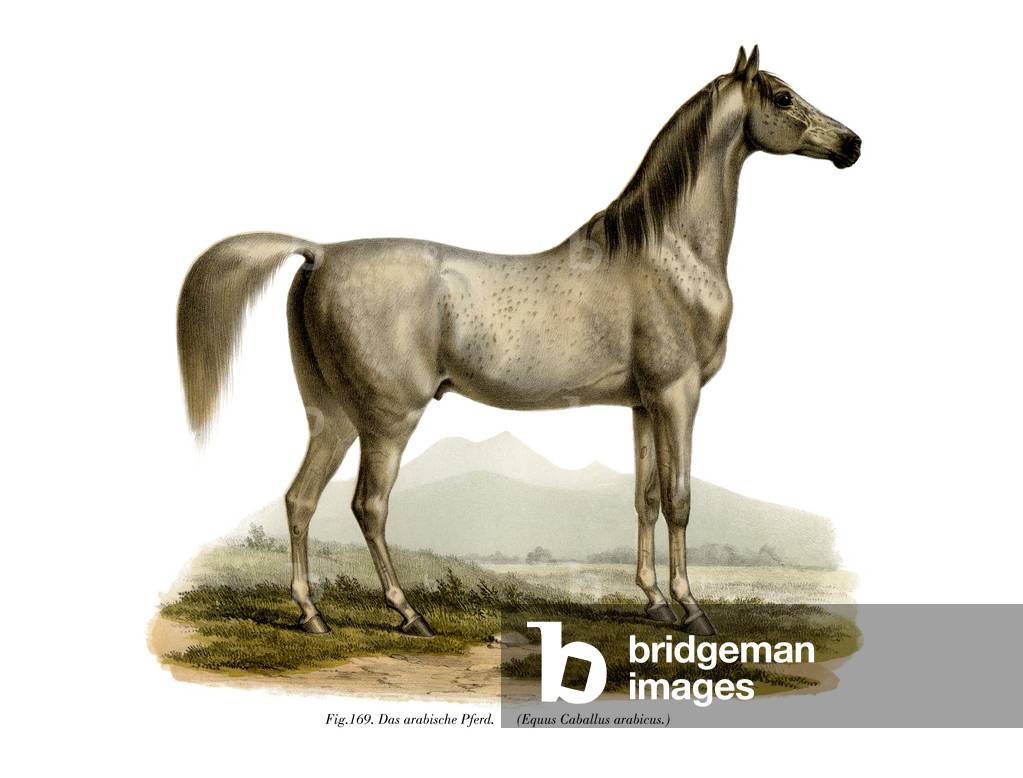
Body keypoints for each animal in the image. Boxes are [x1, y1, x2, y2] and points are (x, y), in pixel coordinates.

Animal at [177, 46, 860, 638]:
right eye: (783, 96)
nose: (851, 144)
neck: (666, 254)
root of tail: (321, 252)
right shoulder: (677, 395)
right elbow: (680, 499)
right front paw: (692, 610)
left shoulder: (643, 404)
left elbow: (644, 499)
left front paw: (655, 602)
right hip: (388, 420)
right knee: (368, 506)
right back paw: (409, 614)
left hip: (333, 415)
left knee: (300, 500)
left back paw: (312, 615)